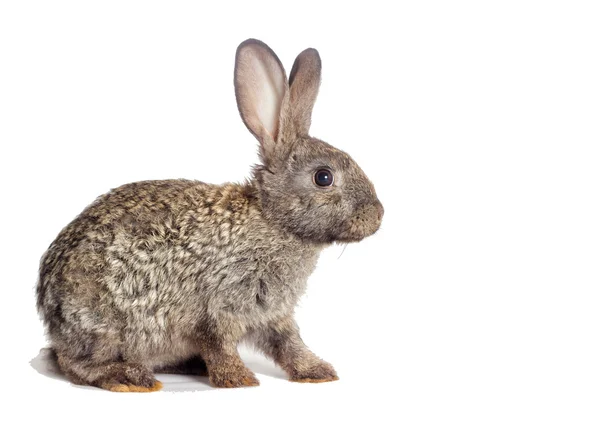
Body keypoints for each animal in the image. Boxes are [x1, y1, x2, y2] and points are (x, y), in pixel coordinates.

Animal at [36, 39, 384, 392]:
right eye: (324, 177)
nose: (378, 215)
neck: (272, 221)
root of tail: (51, 316)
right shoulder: (219, 306)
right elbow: (220, 344)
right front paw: (239, 380)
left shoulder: (273, 314)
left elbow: (289, 344)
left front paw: (318, 372)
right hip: (103, 325)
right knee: (75, 364)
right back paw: (130, 377)